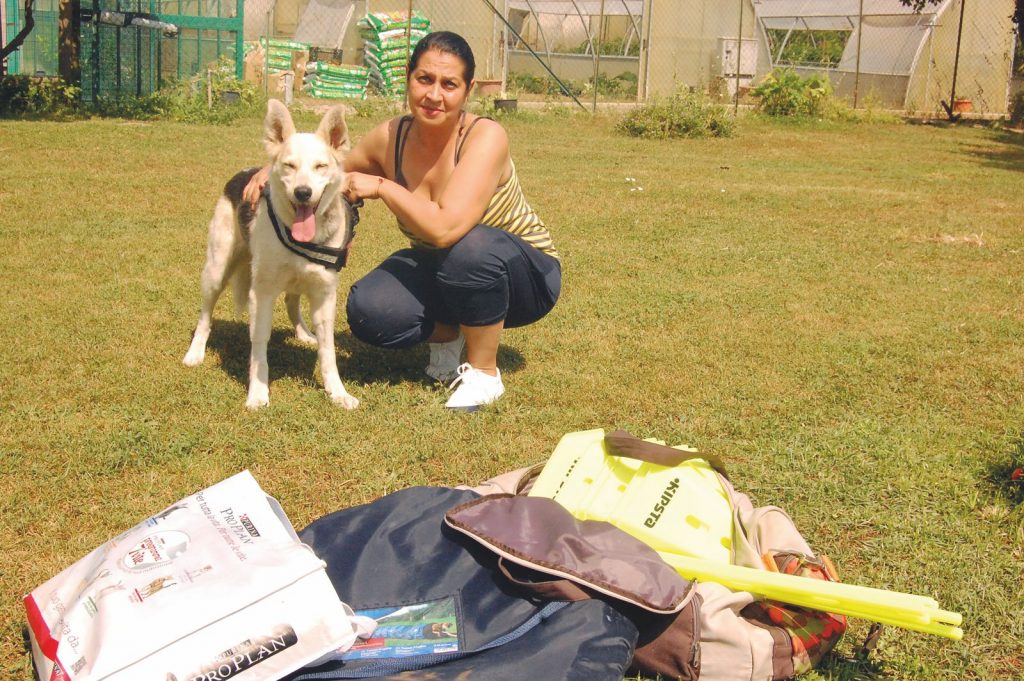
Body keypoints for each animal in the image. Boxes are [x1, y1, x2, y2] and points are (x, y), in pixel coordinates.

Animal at [184, 98, 360, 409]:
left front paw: (337, 392)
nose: (303, 192)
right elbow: (259, 349)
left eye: (320, 166)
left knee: (292, 302)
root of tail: (243, 172)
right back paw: (195, 352)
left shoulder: (325, 296)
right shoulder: (262, 295)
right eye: (289, 165)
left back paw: (304, 333)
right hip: (215, 272)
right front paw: (257, 392)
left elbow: (328, 351)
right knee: (205, 317)